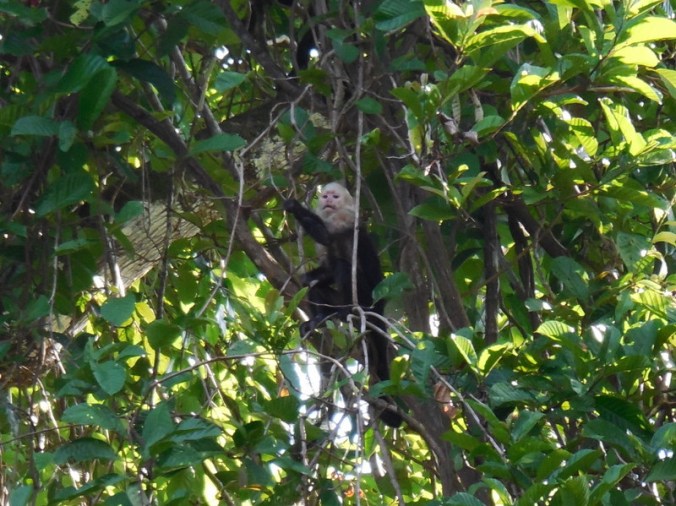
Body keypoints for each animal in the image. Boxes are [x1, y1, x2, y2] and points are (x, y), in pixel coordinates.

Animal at [284, 183, 403, 428]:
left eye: (335, 196)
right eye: (326, 196)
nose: (328, 199)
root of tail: (378, 309)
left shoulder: (345, 217)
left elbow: (327, 237)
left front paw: (295, 207)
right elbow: (324, 268)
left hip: (367, 299)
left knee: (344, 267)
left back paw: (347, 311)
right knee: (316, 283)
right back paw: (320, 319)